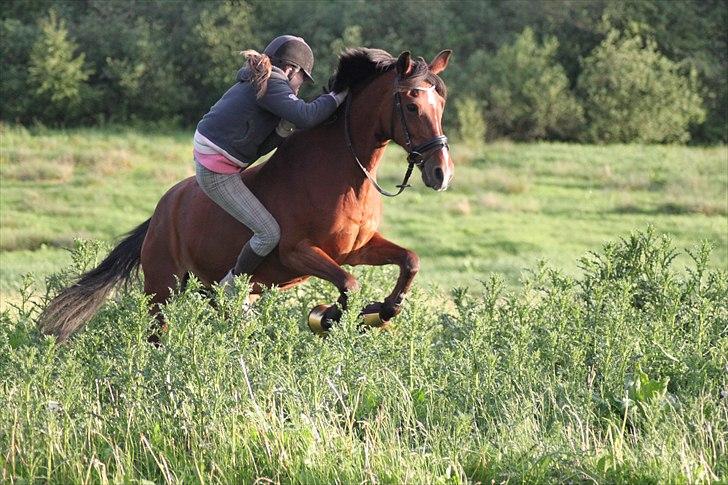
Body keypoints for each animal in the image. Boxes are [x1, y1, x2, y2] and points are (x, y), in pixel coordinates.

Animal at [39, 46, 452, 340]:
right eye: (411, 105)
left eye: (441, 105)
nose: (441, 173)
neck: (342, 175)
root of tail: (159, 213)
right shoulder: (299, 252)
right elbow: (349, 285)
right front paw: (329, 317)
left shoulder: (355, 249)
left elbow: (410, 261)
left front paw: (383, 310)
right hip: (162, 288)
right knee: (157, 333)